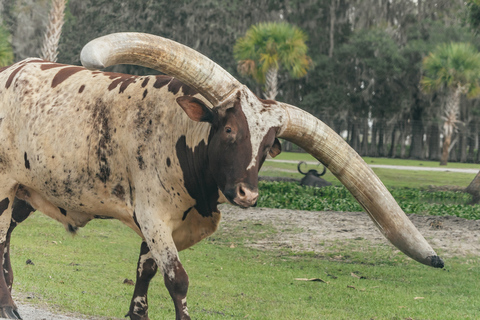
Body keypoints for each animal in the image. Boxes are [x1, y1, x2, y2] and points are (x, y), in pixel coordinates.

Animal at [0, 33, 444, 320]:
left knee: (7, 238)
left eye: (269, 145)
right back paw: (9, 304)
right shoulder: (153, 217)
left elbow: (146, 273)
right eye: (229, 130)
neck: (181, 134)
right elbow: (177, 280)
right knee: (1, 237)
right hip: (4, 186)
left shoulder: (161, 226)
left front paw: (137, 314)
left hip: (26, 193)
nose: (247, 194)